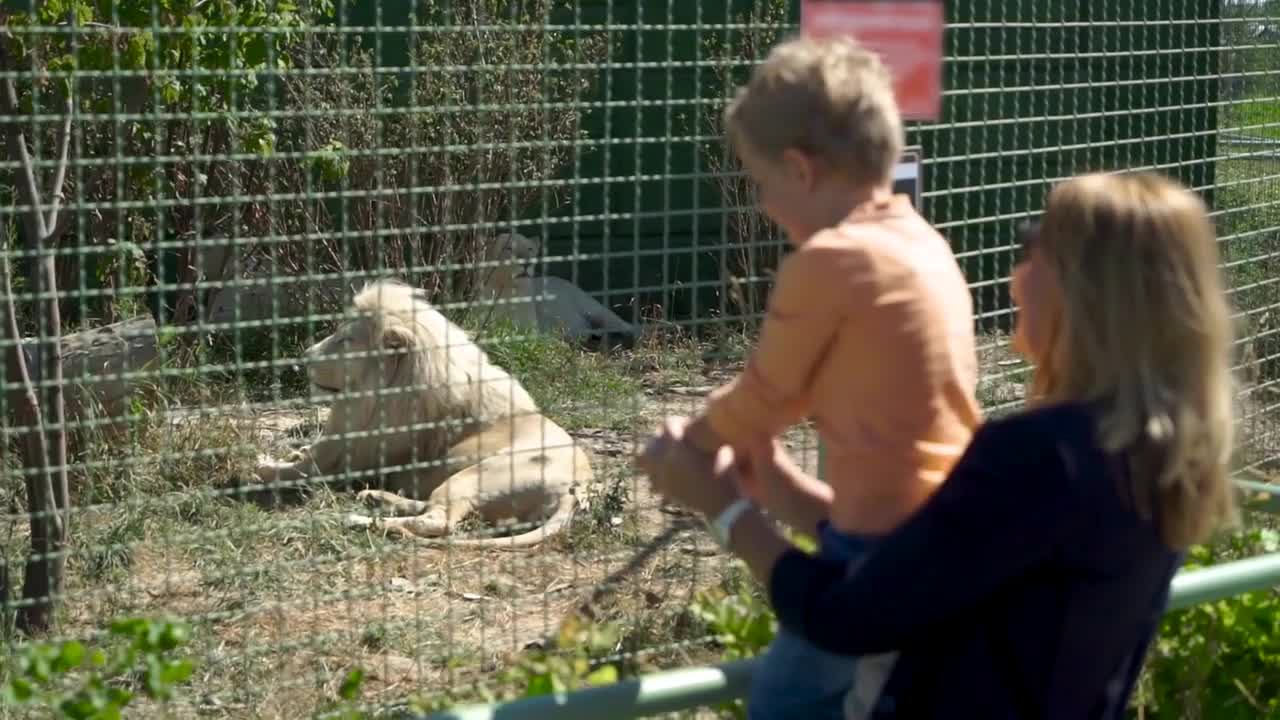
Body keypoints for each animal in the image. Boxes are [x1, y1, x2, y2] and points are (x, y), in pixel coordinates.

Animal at [253, 278, 593, 545]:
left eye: (346, 340)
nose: (302, 359)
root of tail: (575, 492)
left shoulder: (351, 456)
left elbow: (298, 469)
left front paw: (265, 467)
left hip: (475, 476)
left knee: (437, 521)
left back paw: (361, 520)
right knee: (429, 510)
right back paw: (376, 499)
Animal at [478, 233, 637, 348]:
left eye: (530, 249)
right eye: (509, 248)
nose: (527, 263)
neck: (508, 288)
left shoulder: (531, 327)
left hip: (594, 309)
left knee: (623, 324)